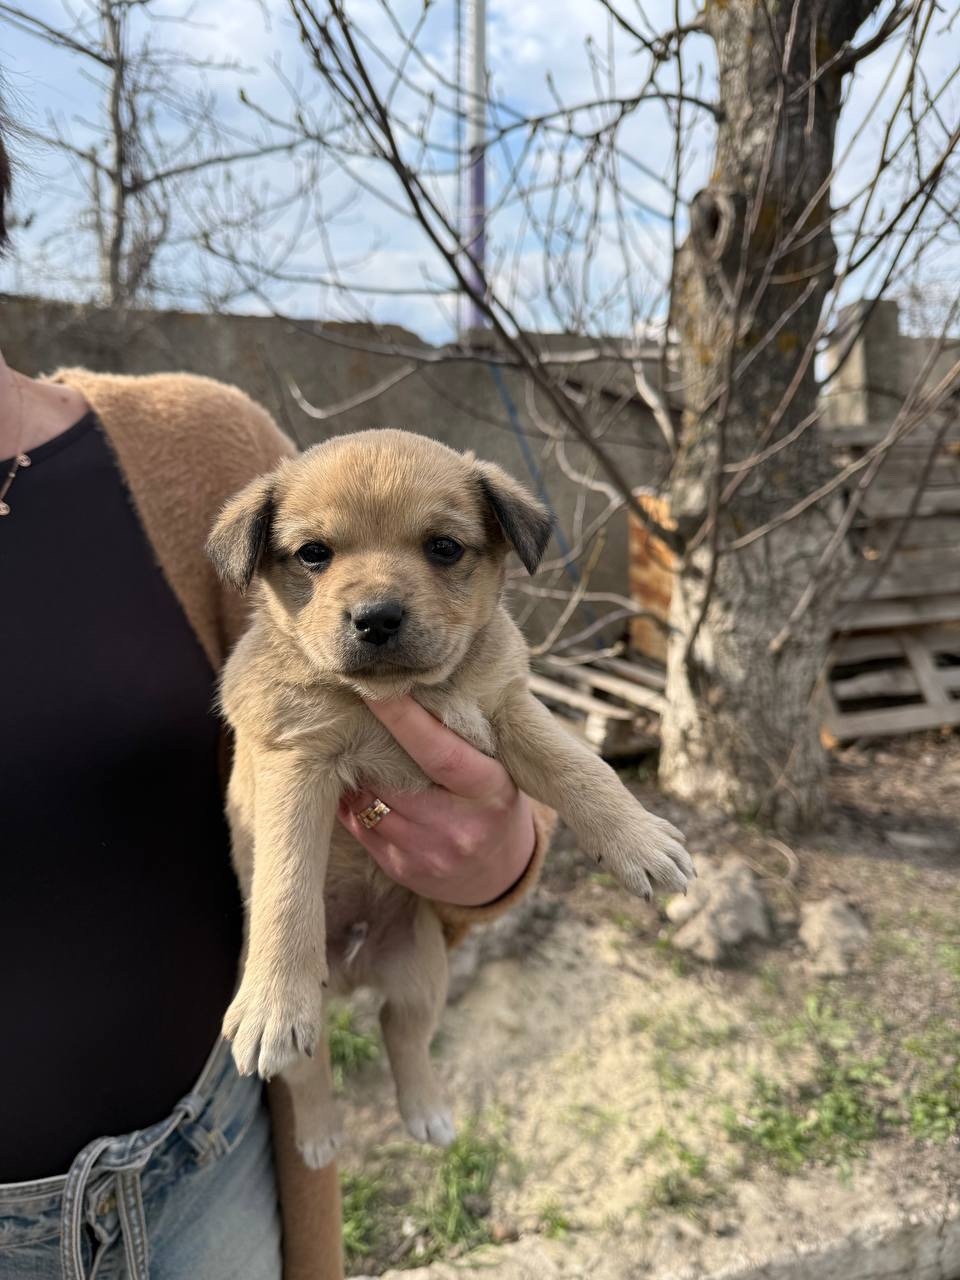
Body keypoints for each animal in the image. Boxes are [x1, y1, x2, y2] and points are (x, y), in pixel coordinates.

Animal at [207, 428, 694, 1167]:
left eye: (443, 547)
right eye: (313, 553)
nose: (376, 618)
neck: (392, 700)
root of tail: (351, 972)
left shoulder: (508, 708)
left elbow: (582, 767)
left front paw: (639, 839)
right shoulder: (294, 763)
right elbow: (286, 886)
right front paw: (272, 1001)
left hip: (420, 977)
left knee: (403, 1037)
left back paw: (428, 1113)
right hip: (337, 1014)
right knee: (310, 1067)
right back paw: (316, 1133)